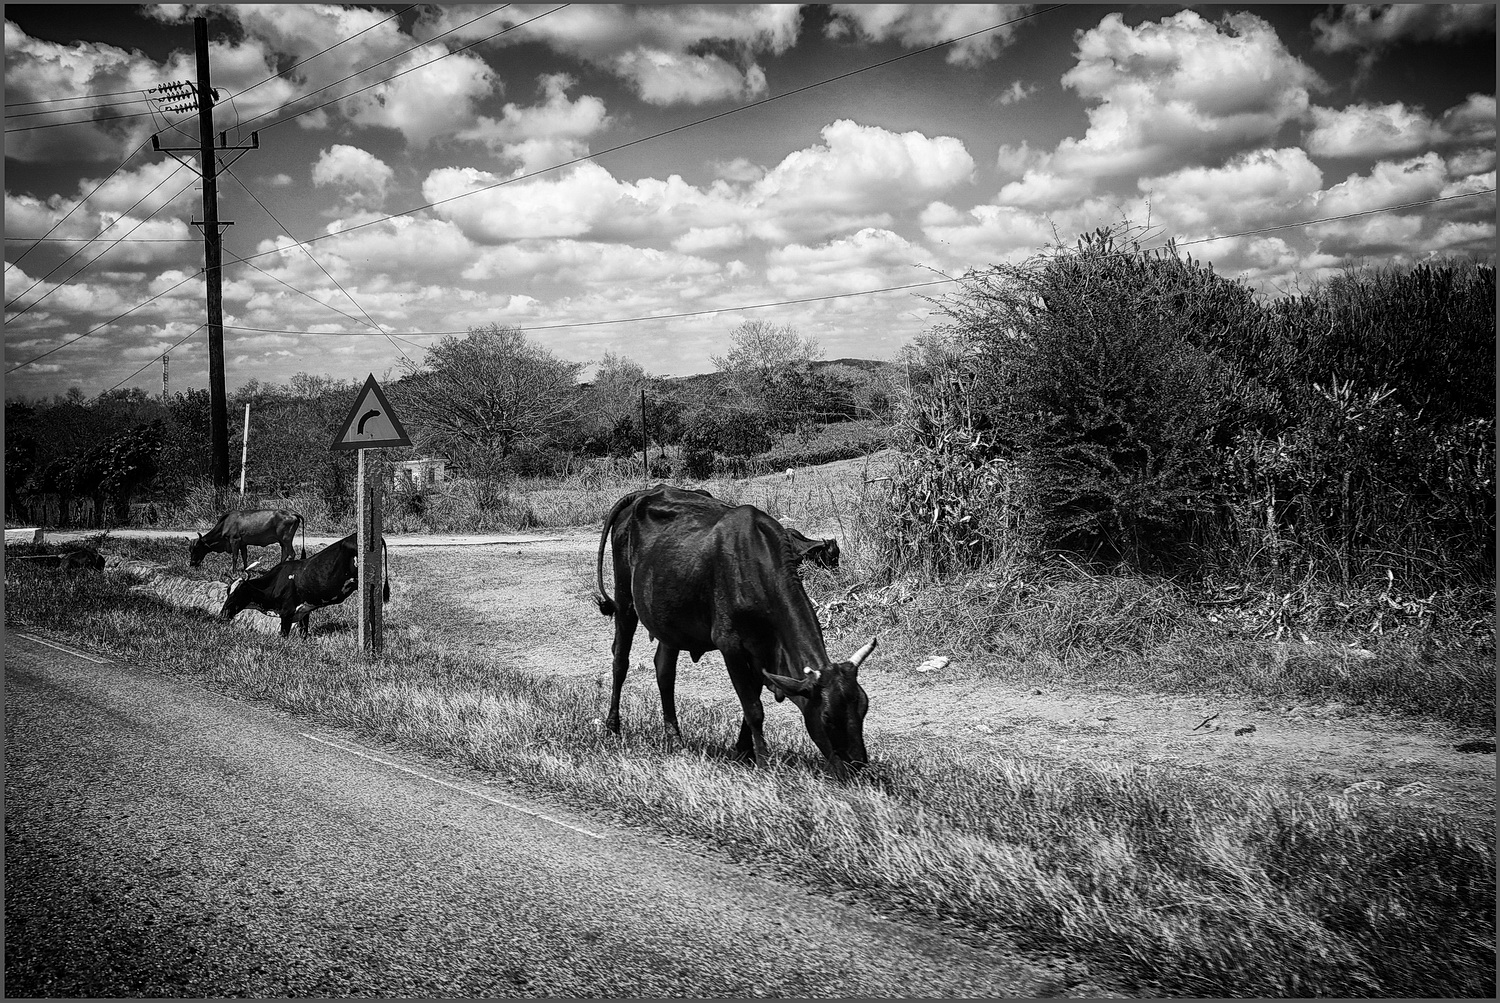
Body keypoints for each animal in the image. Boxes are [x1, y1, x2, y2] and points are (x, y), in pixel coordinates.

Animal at [591, 479, 876, 779]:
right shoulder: (732, 646)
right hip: (625, 600)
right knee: (620, 660)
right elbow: (753, 708)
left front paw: (743, 752)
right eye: (827, 717)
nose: (857, 769)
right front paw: (763, 762)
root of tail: (645, 492)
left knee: (664, 670)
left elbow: (752, 703)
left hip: (668, 618)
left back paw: (674, 738)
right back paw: (612, 727)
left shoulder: (762, 653)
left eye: (863, 707)